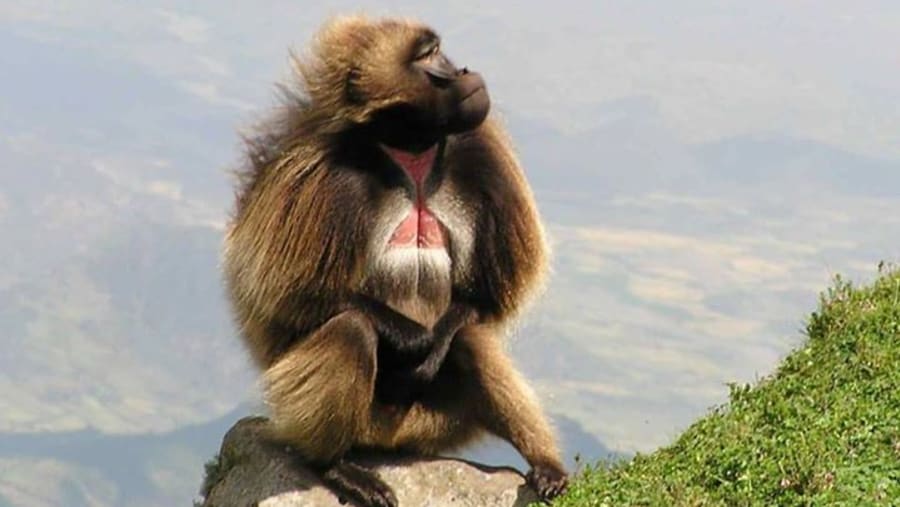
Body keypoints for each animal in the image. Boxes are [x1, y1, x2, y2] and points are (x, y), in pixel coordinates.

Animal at [223, 15, 568, 507]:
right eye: (427, 55)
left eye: (438, 49)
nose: (464, 70)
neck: (410, 148)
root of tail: (392, 442)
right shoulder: (315, 175)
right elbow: (287, 298)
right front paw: (412, 338)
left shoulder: (484, 152)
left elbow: (489, 294)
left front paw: (435, 340)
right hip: (324, 408)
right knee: (351, 329)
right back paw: (336, 466)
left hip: (437, 423)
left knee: (470, 338)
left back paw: (545, 466)